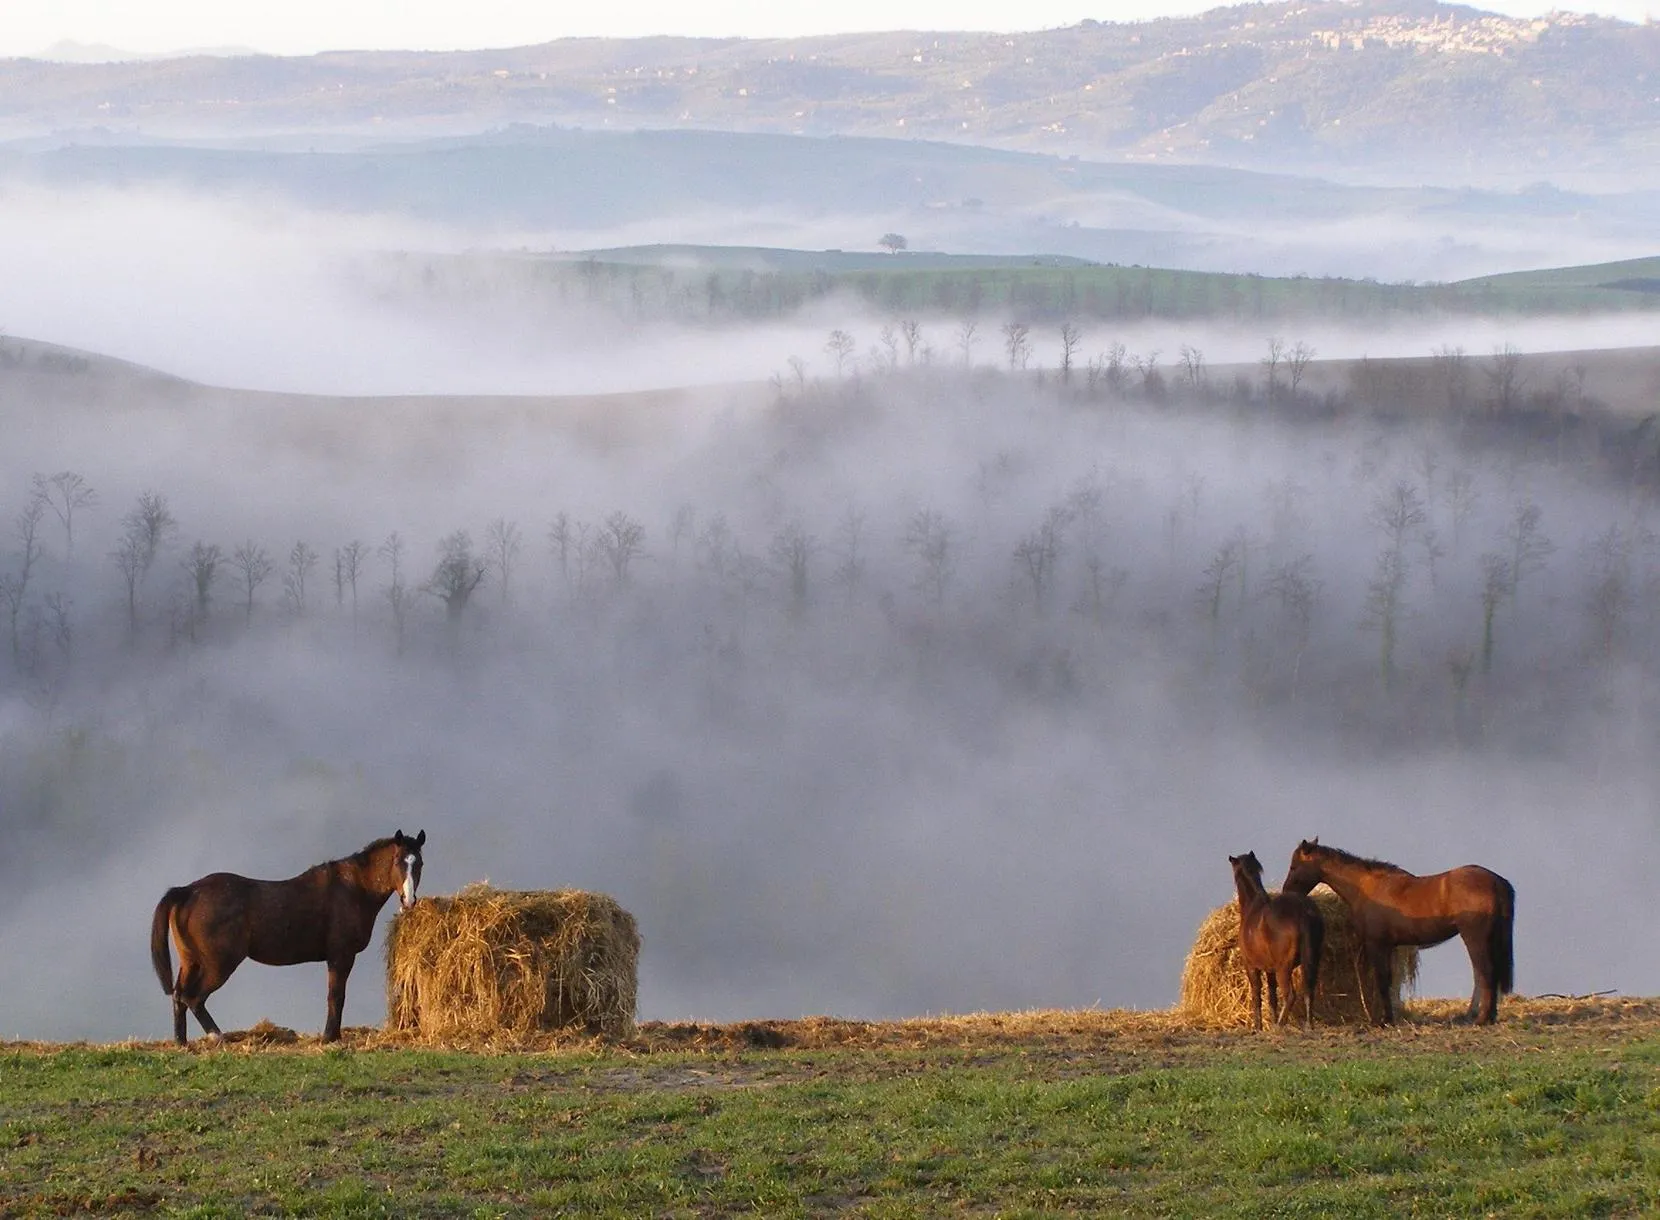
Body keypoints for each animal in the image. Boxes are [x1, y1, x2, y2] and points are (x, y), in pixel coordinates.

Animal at [150, 829, 426, 1045]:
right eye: (398, 861)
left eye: (419, 863)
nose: (409, 901)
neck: (353, 889)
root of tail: (188, 891)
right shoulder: (341, 955)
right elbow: (336, 995)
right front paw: (330, 1037)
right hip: (218, 965)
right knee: (193, 997)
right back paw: (217, 1036)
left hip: (191, 962)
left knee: (179, 996)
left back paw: (182, 1042)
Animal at [1229, 851, 1324, 1030]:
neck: (1252, 907)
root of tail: (1302, 911)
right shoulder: (1269, 969)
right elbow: (1272, 997)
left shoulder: (1251, 967)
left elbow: (1257, 995)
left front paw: (1258, 1026)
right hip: (1311, 961)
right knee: (1309, 991)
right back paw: (1308, 1025)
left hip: (1283, 968)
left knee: (1290, 995)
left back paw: (1280, 1024)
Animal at [1282, 838, 1514, 1025]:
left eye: (1294, 867)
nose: (1286, 892)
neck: (1367, 887)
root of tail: (1497, 881)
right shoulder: (1389, 946)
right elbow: (1388, 980)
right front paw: (1389, 1017)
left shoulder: (1377, 944)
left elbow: (1382, 980)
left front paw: (1384, 1020)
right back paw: (1488, 1016)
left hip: (1475, 938)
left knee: (1485, 973)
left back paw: (1481, 1018)